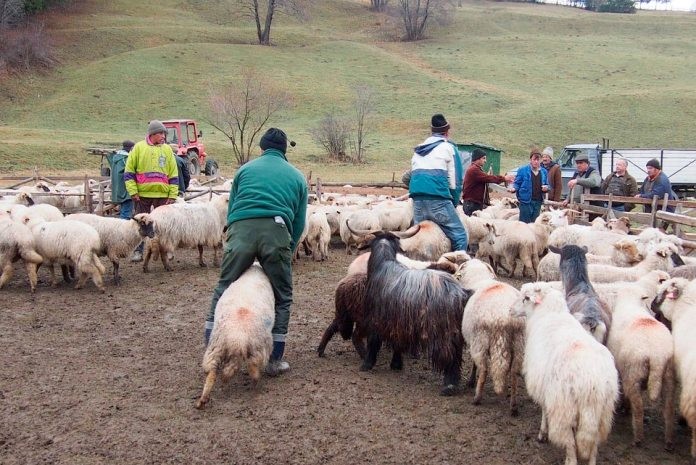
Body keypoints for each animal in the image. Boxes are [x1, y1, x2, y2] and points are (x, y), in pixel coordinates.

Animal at [196, 262, 274, 408]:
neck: (255, 269)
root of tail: (236, 339)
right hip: (258, 348)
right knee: (251, 369)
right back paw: (254, 387)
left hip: (216, 347)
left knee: (212, 373)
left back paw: (203, 400)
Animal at [354, 225, 474, 396]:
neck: (383, 265)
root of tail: (461, 293)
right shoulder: (398, 323)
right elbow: (397, 343)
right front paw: (396, 364)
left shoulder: (376, 319)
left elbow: (373, 341)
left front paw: (367, 365)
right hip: (456, 331)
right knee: (456, 355)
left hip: (443, 332)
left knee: (449, 355)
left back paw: (449, 386)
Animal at [508, 280, 616, 464]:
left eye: (525, 298)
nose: (509, 310)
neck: (549, 314)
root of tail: (592, 381)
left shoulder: (545, 386)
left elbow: (544, 409)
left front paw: (542, 434)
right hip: (602, 413)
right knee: (593, 444)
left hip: (564, 407)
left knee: (570, 442)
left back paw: (569, 459)